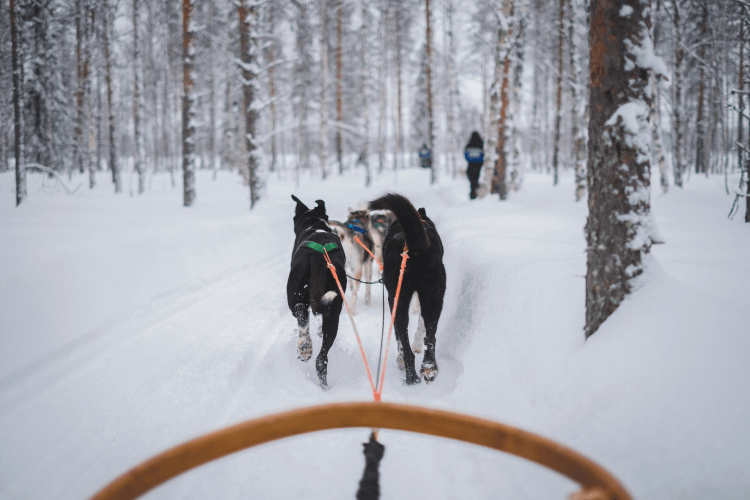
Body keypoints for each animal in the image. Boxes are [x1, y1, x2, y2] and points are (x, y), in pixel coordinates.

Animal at [290, 193, 348, 388]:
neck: (314, 224)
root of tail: (319, 255)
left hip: (295, 295)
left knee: (301, 312)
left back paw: (305, 347)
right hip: (333, 311)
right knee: (321, 359)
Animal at [370, 193, 446, 384]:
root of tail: (413, 247)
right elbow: (421, 326)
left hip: (399, 300)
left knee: (404, 340)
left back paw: (410, 373)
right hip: (433, 298)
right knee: (430, 338)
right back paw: (427, 369)